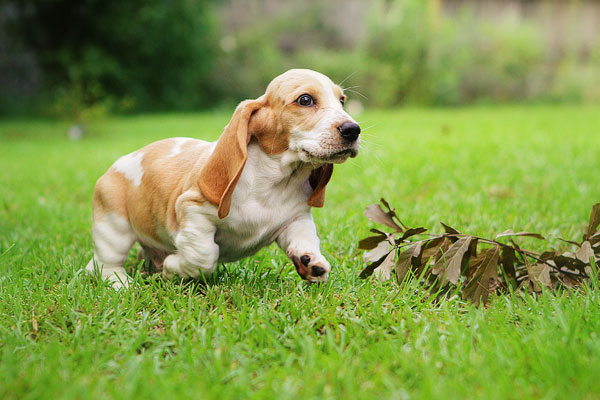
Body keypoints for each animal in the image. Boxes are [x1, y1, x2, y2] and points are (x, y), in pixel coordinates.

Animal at [85, 69, 360, 288]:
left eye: (342, 100)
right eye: (305, 100)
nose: (353, 130)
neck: (274, 181)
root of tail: (118, 162)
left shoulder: (295, 220)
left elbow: (306, 239)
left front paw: (311, 262)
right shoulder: (193, 211)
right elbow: (204, 256)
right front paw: (173, 267)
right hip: (114, 227)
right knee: (101, 265)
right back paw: (121, 284)